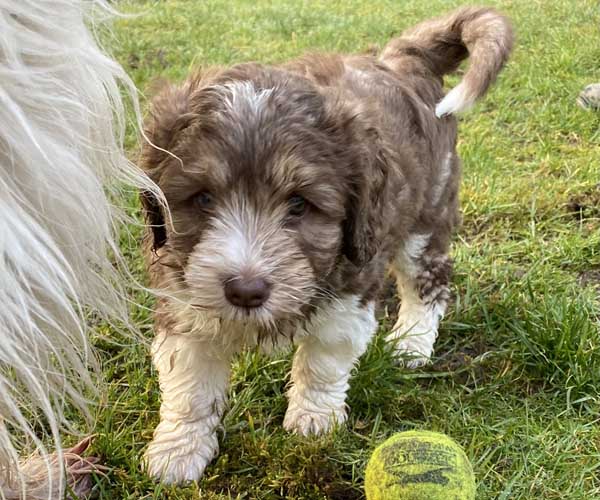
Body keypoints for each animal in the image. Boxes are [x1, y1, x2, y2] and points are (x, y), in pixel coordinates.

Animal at [139, 6, 513, 484]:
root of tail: (404, 60)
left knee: (428, 283)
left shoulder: (350, 287)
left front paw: (313, 421)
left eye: (299, 204)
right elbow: (190, 387)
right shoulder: (183, 298)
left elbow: (323, 361)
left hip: (427, 215)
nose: (246, 291)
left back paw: (411, 343)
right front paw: (177, 451)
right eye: (203, 199)